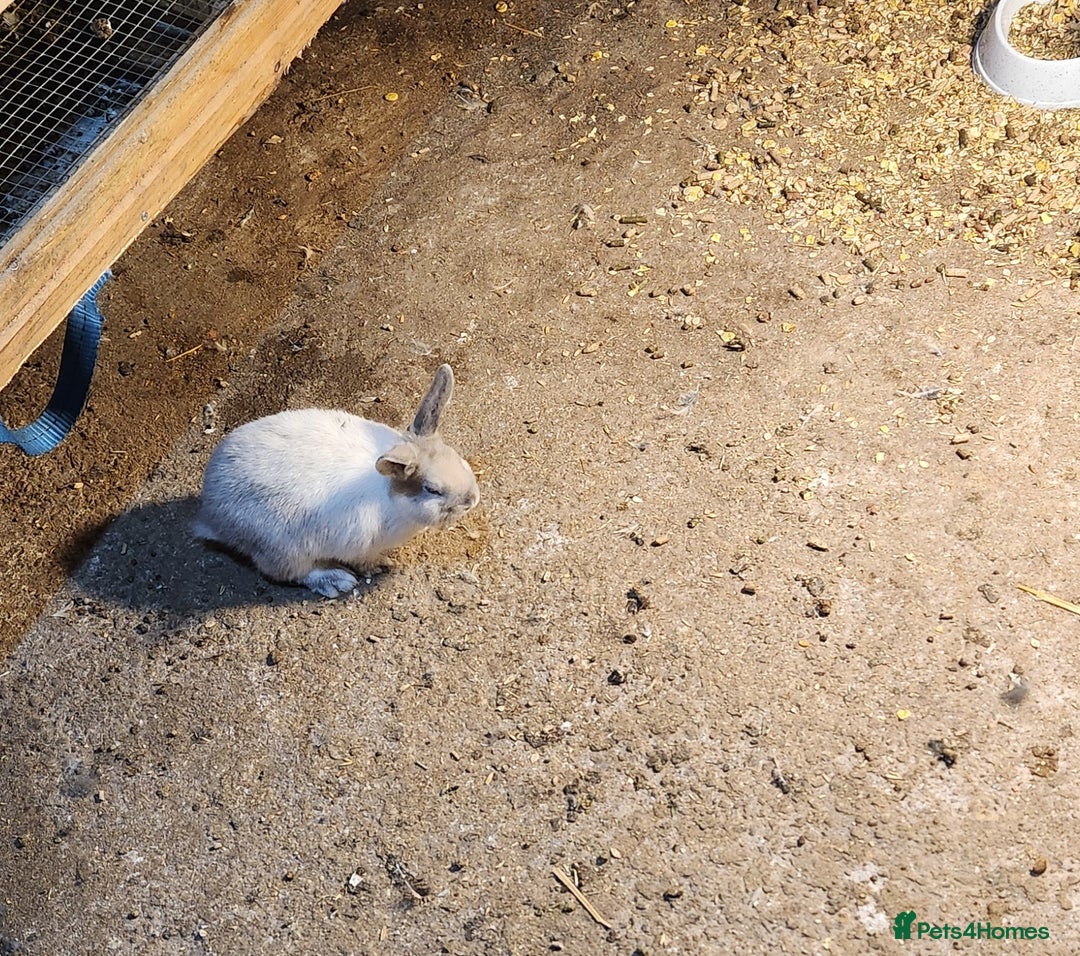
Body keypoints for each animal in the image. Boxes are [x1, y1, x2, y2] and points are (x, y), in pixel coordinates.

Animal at [193, 364, 479, 597]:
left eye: (459, 459)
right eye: (432, 489)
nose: (472, 500)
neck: (390, 494)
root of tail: (212, 517)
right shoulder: (361, 547)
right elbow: (365, 562)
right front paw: (381, 566)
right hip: (284, 550)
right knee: (290, 573)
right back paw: (336, 580)